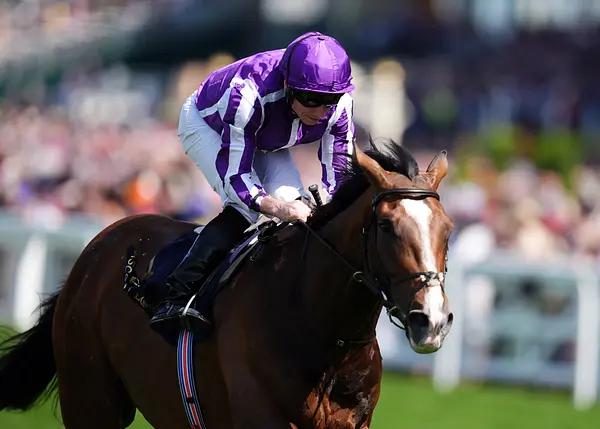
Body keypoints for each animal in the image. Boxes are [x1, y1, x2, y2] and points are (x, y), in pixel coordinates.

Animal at [0, 138, 454, 429]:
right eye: (386, 226)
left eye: (448, 229)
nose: (430, 321)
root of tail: (98, 246)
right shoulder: (263, 417)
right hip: (90, 399)